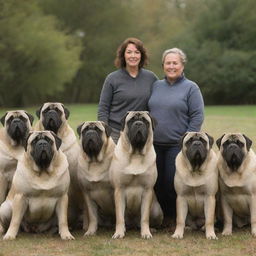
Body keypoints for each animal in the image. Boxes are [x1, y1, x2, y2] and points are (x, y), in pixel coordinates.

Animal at [109, 111, 162, 239]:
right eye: (131, 120)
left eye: (145, 121)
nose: (138, 124)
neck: (136, 154)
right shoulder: (119, 189)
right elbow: (120, 217)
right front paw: (118, 233)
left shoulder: (147, 190)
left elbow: (145, 217)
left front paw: (146, 233)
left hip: (157, 211)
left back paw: (152, 229)